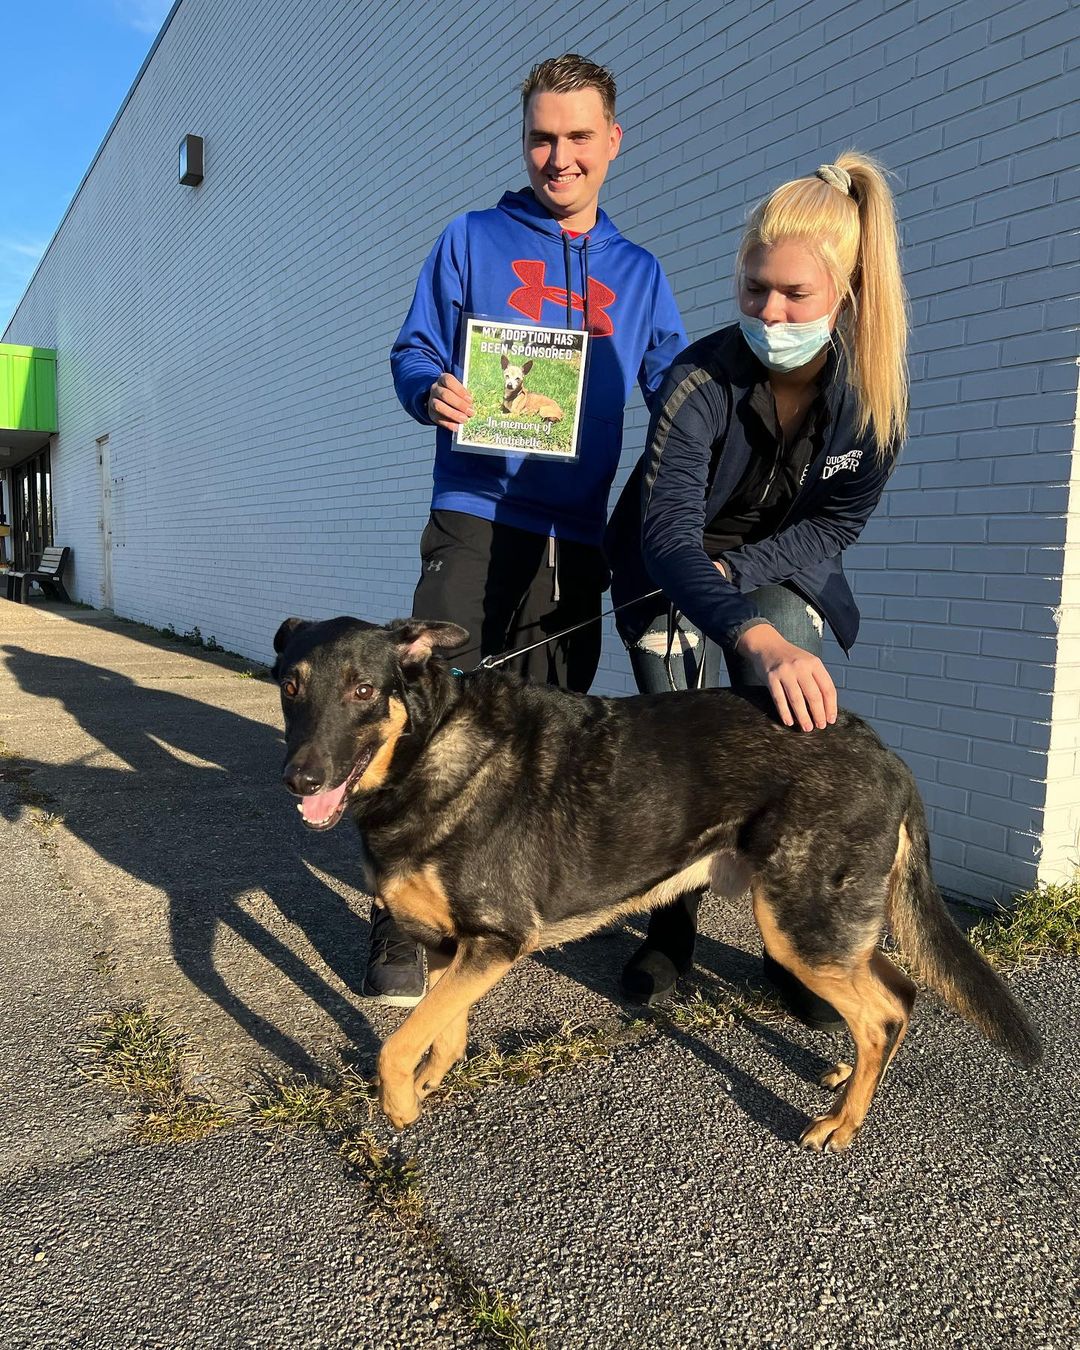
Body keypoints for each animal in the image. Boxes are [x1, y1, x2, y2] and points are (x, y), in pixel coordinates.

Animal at [274, 615, 1042, 1150]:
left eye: (364, 691)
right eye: (291, 686)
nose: (299, 780)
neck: (427, 748)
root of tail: (885, 752)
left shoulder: (497, 940)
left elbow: (396, 1045)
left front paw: (401, 1103)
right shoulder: (452, 944)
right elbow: (442, 1030)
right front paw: (433, 1080)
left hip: (798, 926)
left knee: (879, 1014)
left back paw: (843, 1124)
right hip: (826, 928)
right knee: (900, 994)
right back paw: (849, 1079)